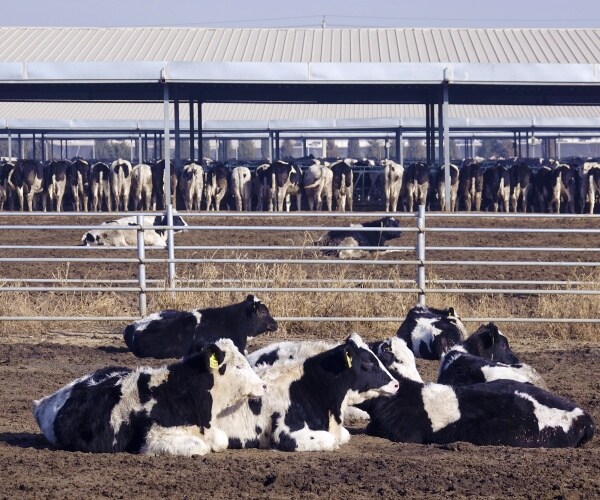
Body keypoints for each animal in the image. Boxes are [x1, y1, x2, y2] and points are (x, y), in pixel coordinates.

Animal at [32, 338, 264, 456]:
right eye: (239, 366)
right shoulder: (154, 436)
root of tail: (43, 402)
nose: (263, 385)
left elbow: (221, 439)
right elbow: (200, 447)